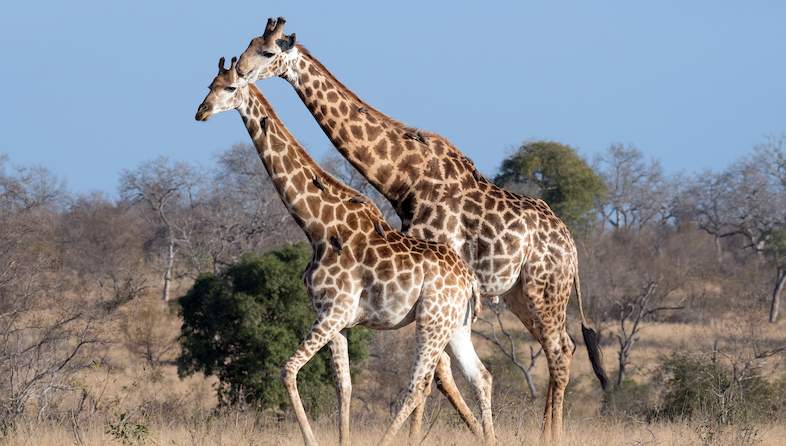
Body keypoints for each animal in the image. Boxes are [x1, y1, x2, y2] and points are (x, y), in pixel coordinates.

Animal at [195, 57, 496, 446]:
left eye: (230, 87)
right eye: (209, 85)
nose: (201, 111)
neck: (317, 226)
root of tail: (469, 280)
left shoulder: (334, 312)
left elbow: (288, 370)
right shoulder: (332, 318)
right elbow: (345, 387)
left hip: (431, 320)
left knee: (417, 385)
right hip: (456, 325)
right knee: (480, 376)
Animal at [235, 18, 609, 442]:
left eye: (267, 51)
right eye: (249, 43)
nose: (238, 72)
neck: (403, 177)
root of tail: (571, 245)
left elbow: (435, 375)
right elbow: (442, 374)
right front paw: (468, 431)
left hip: (544, 289)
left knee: (560, 351)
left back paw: (551, 436)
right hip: (519, 294)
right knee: (560, 349)